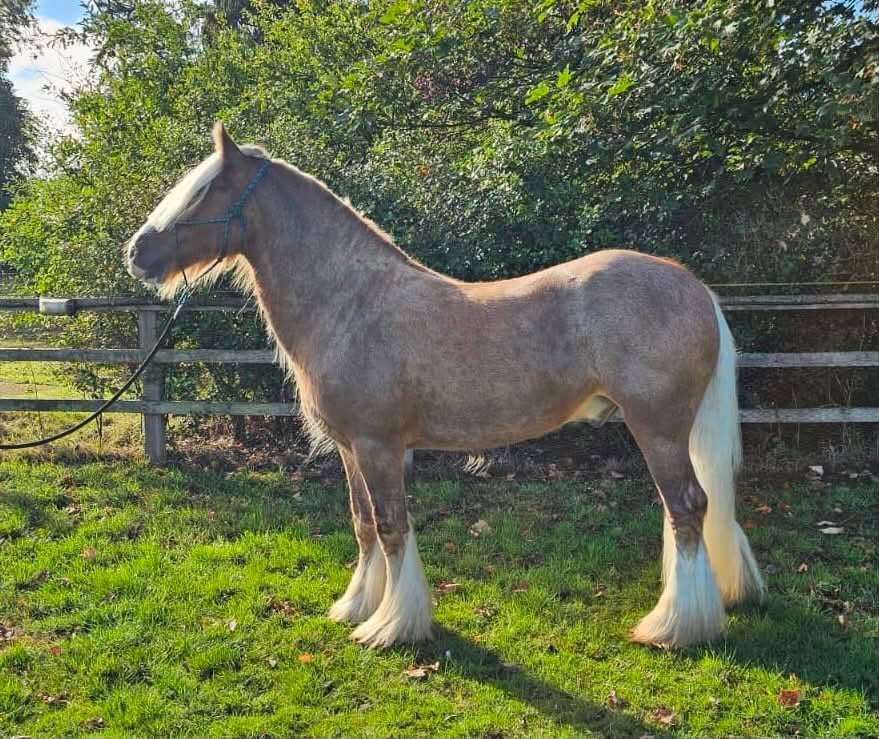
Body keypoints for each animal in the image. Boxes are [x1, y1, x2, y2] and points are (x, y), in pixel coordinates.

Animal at [126, 122, 765, 650]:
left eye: (205, 190)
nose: (137, 253)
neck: (350, 304)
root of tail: (693, 287)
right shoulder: (351, 449)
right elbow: (362, 522)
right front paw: (357, 607)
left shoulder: (380, 446)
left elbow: (392, 527)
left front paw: (392, 626)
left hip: (657, 428)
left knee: (687, 507)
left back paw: (675, 627)